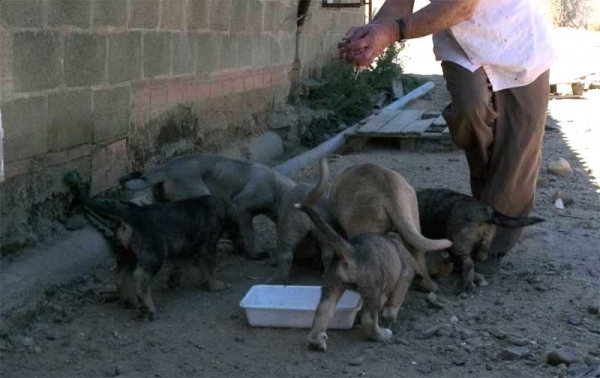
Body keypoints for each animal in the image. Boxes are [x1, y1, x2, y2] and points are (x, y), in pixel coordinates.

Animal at [64, 173, 243, 320]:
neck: (217, 205)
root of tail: (131, 215)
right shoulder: (208, 248)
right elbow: (209, 271)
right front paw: (216, 286)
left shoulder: (184, 251)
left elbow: (178, 268)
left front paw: (173, 283)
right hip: (154, 256)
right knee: (141, 278)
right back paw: (148, 308)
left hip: (125, 254)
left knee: (122, 278)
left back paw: (131, 302)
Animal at [120, 152, 296, 262]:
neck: (277, 187)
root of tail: (165, 168)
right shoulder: (242, 207)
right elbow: (248, 233)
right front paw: (255, 254)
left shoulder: (235, 212)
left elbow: (237, 231)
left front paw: (238, 248)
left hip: (164, 203)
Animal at [414, 188, 548, 292]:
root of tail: (485, 211)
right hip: (485, 236)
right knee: (482, 253)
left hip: (458, 243)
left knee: (467, 264)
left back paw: (466, 286)